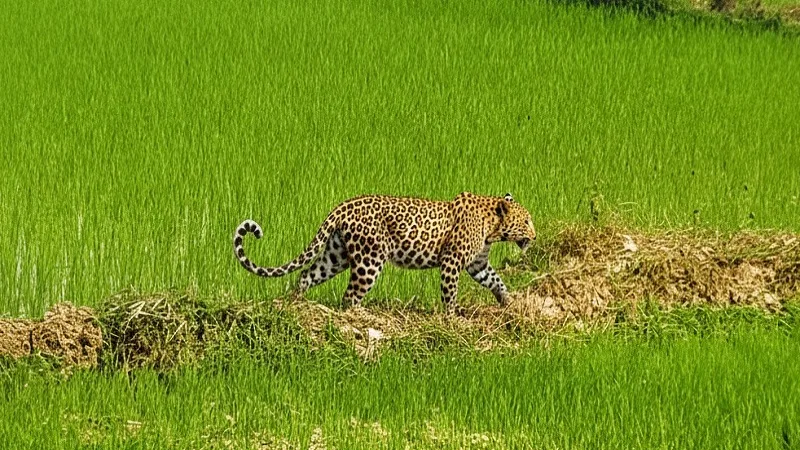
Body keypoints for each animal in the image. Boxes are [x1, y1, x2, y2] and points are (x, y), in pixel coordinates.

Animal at [233, 192, 536, 312]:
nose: (534, 236)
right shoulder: (452, 262)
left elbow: (495, 280)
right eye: (526, 221)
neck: (492, 227)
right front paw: (452, 317)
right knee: (350, 295)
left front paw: (508, 302)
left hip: (336, 256)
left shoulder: (478, 264)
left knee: (307, 274)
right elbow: (450, 293)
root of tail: (342, 206)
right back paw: (359, 316)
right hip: (370, 260)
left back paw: (296, 303)